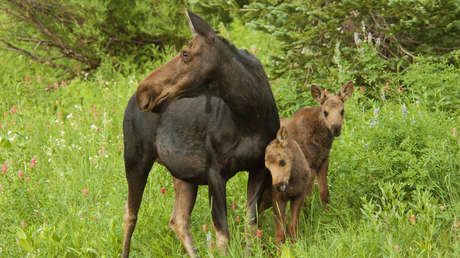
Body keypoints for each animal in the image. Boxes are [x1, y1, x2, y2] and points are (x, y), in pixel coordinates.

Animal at [120, 9, 278, 256]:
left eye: (185, 53)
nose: (143, 91)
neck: (250, 115)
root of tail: (129, 104)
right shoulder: (215, 171)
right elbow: (223, 235)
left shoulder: (259, 167)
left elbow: (251, 226)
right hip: (135, 158)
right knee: (130, 215)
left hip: (183, 173)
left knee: (177, 219)